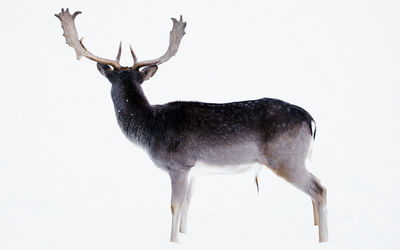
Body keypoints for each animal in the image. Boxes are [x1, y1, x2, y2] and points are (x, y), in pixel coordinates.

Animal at [54, 8, 328, 243]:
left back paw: (323, 238)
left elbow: (174, 206)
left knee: (320, 189)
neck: (150, 128)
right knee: (316, 184)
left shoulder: (179, 165)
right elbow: (187, 205)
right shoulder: (194, 171)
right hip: (296, 158)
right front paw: (185, 237)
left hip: (283, 157)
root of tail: (310, 119)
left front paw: (172, 240)